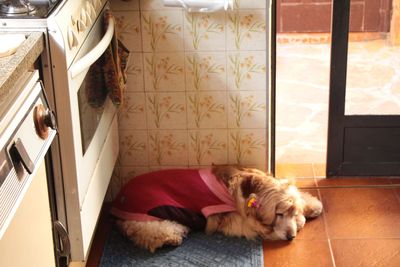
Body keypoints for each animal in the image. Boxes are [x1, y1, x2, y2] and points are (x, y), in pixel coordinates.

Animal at [111, 165, 324, 253]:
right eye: (279, 214)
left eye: (292, 212)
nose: (291, 237)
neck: (250, 189)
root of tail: (118, 200)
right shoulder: (235, 219)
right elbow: (259, 227)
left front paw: (310, 206)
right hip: (148, 214)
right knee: (148, 232)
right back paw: (172, 236)